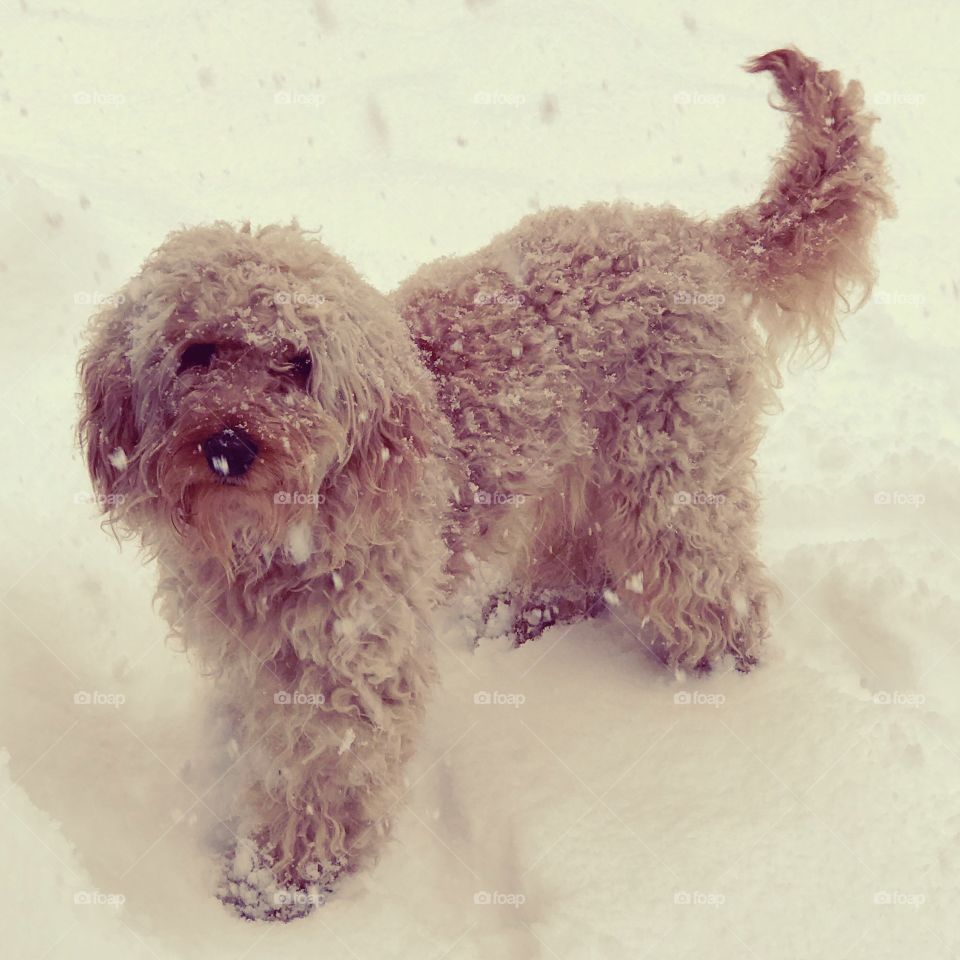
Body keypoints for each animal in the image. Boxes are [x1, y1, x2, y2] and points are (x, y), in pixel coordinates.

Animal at [79, 48, 896, 920]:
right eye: (196, 351)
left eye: (298, 366)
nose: (230, 446)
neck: (274, 536)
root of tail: (688, 233)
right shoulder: (257, 655)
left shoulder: (350, 664)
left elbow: (323, 776)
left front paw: (285, 881)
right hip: (578, 469)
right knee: (579, 561)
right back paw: (521, 617)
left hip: (671, 481)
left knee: (713, 592)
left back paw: (716, 686)